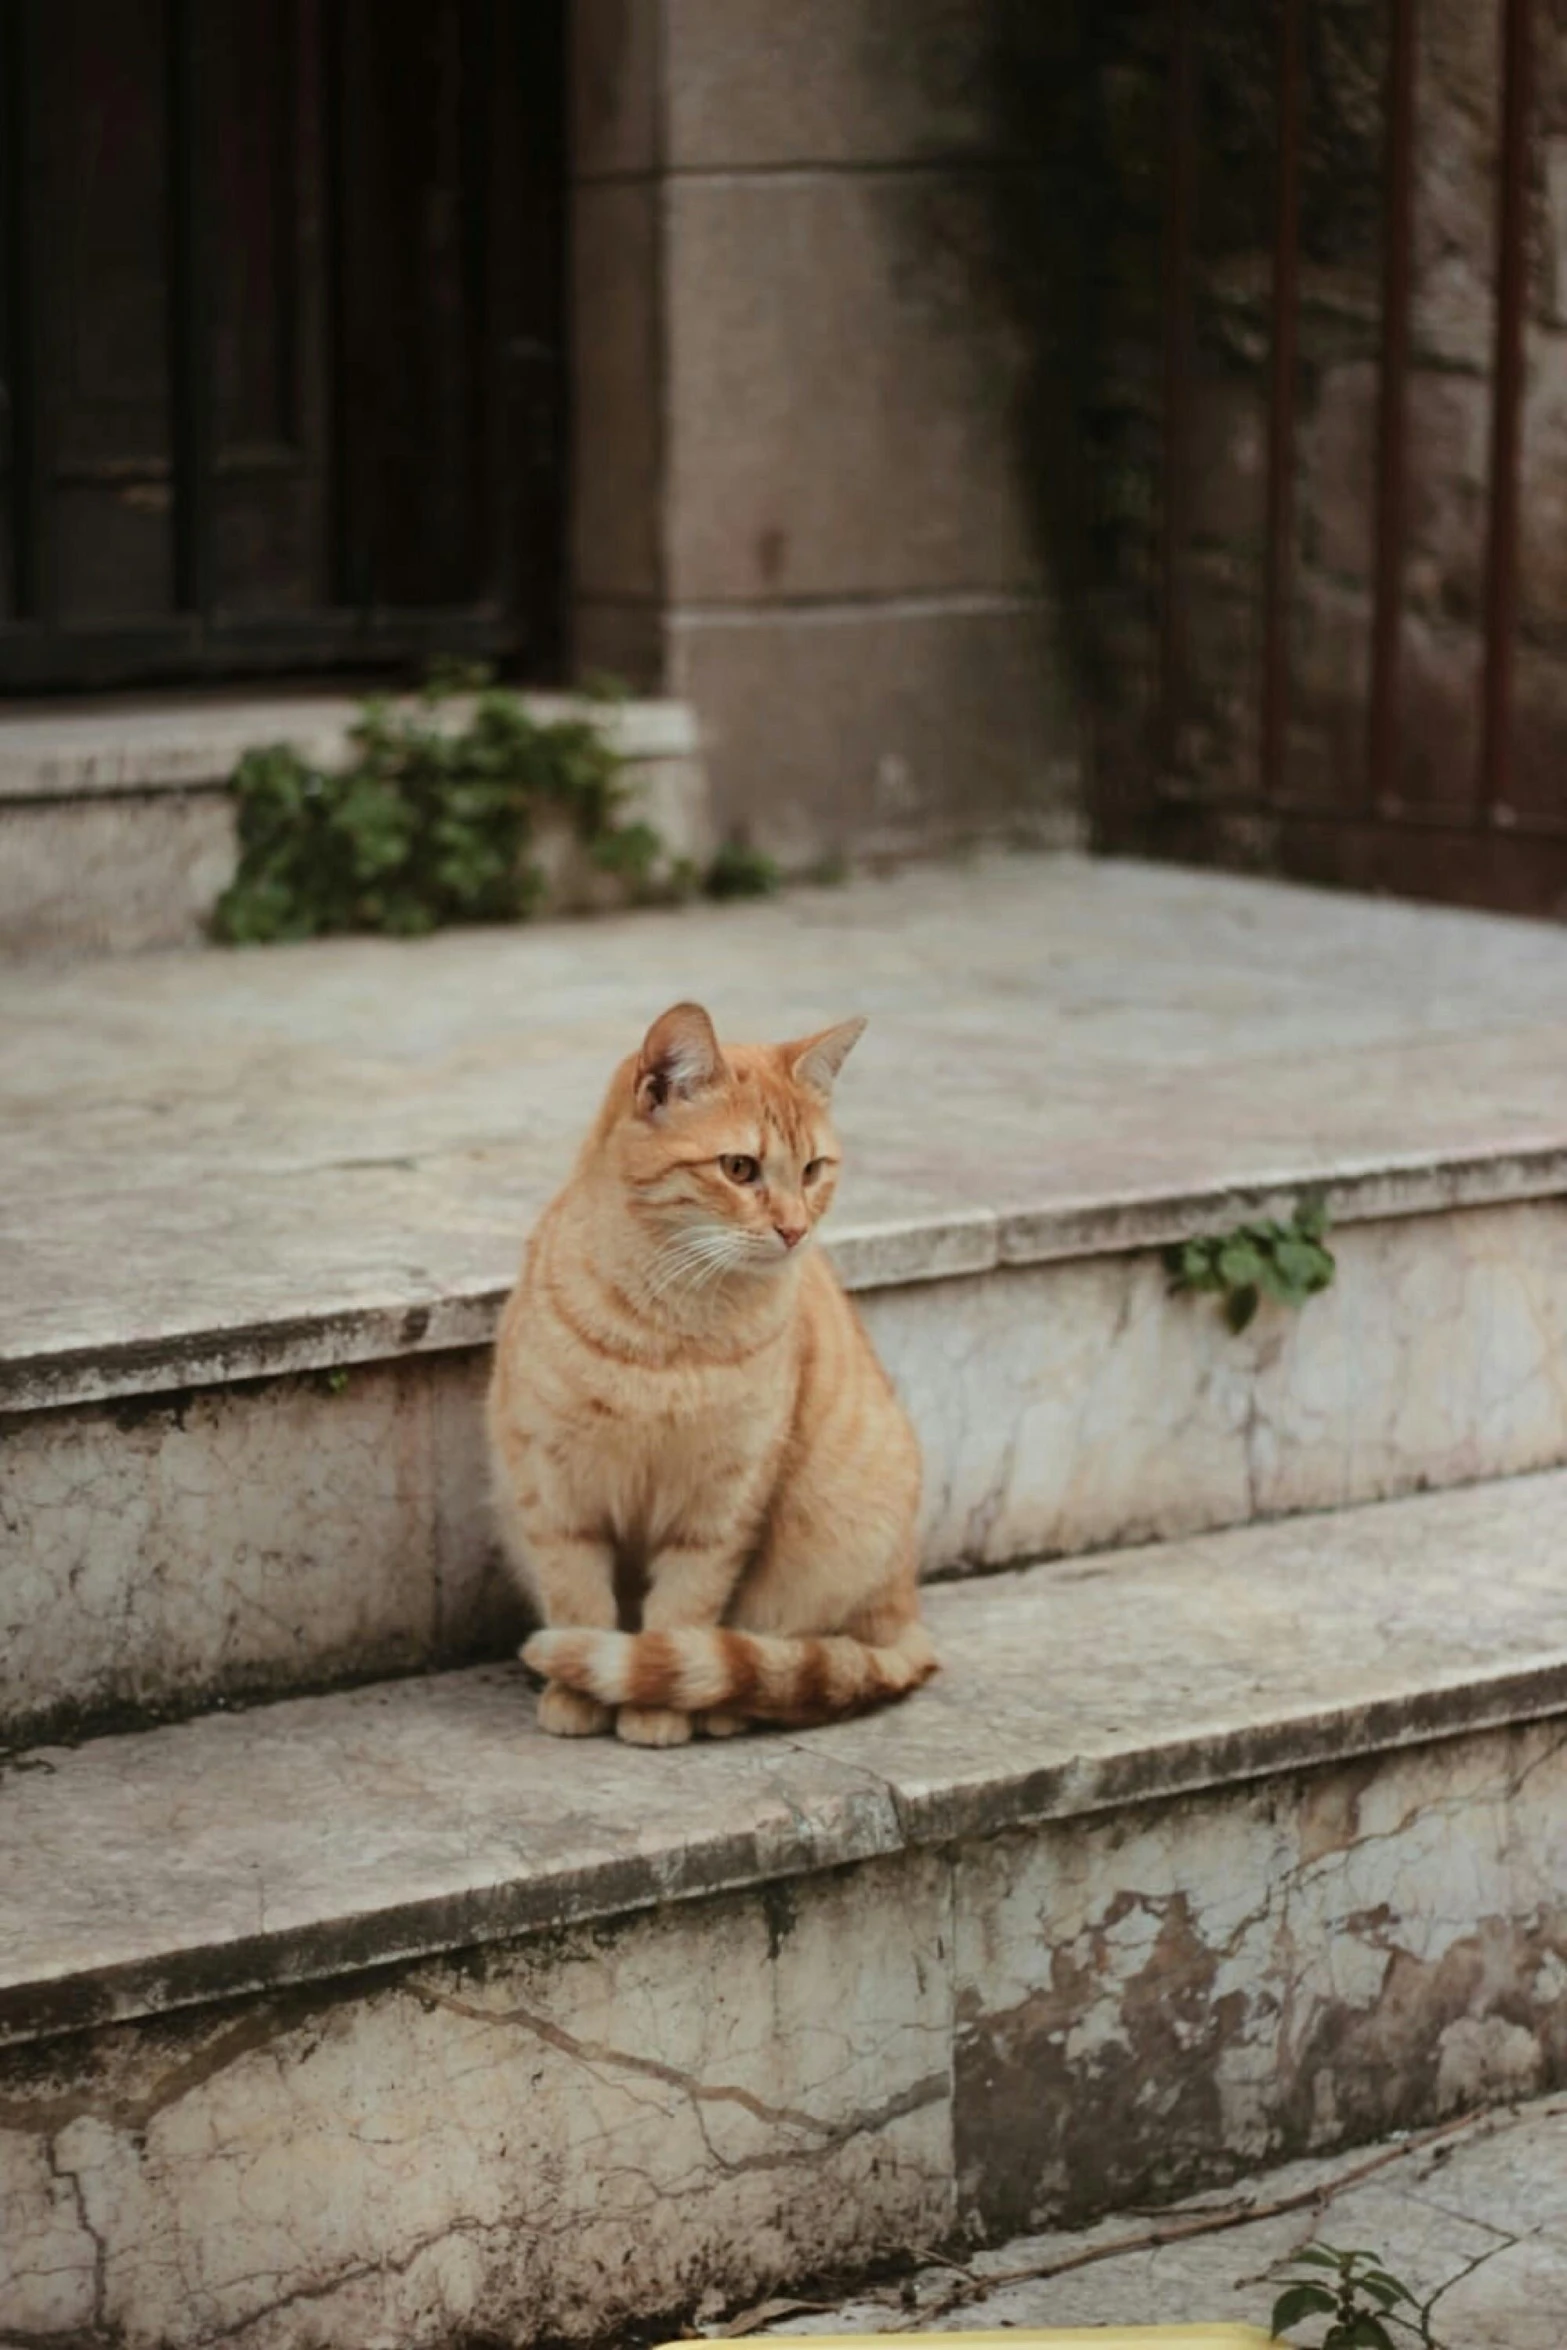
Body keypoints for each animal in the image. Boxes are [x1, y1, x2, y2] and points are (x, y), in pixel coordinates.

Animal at [483, 996, 939, 1748]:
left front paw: (654, 1707)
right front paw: (577, 1695)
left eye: (812, 1169)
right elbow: (579, 1602)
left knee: (789, 1660)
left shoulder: (718, 1510)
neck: (669, 1331)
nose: (794, 1229)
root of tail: (911, 1616)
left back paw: (721, 1706)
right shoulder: (556, 1494)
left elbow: (679, 1616)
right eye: (740, 1168)